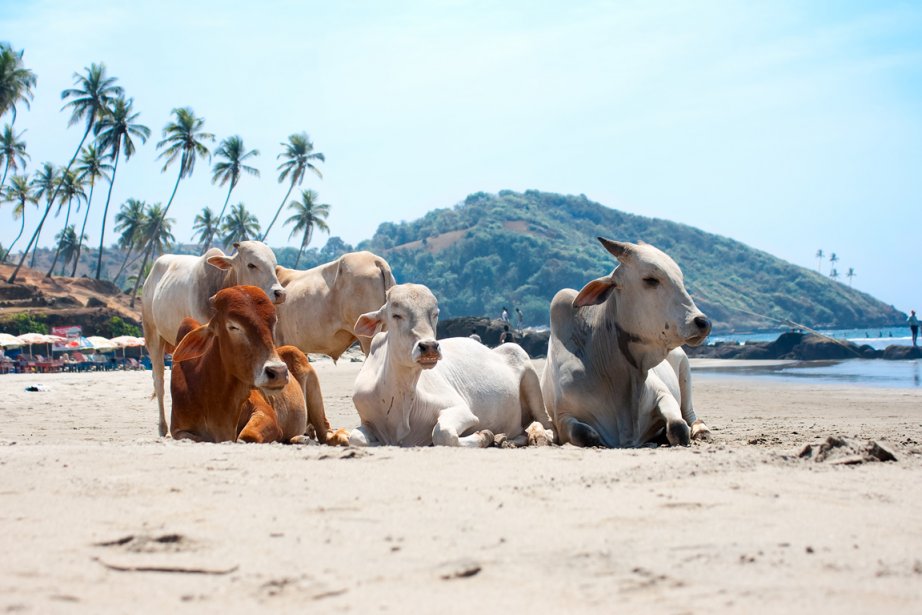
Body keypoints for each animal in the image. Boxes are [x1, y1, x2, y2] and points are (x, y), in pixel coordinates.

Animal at [139, 241, 284, 438]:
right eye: (251, 265)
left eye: (274, 265)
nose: (279, 293)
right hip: (153, 336)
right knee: (159, 380)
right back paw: (163, 428)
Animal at [169, 286, 348, 446]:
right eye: (233, 326)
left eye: (273, 323)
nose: (278, 372)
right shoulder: (177, 430)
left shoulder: (266, 413)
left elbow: (246, 436)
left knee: (325, 432)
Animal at [350, 284, 552, 448]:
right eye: (396, 315)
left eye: (435, 314)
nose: (429, 347)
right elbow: (355, 438)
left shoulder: (461, 409)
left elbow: (443, 433)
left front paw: (484, 436)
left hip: (526, 368)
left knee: (545, 422)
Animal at [540, 237, 712, 448]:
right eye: (651, 279)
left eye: (680, 279)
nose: (703, 322)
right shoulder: (563, 416)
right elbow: (586, 435)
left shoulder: (663, 393)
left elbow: (678, 426)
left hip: (685, 371)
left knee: (690, 415)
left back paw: (702, 430)